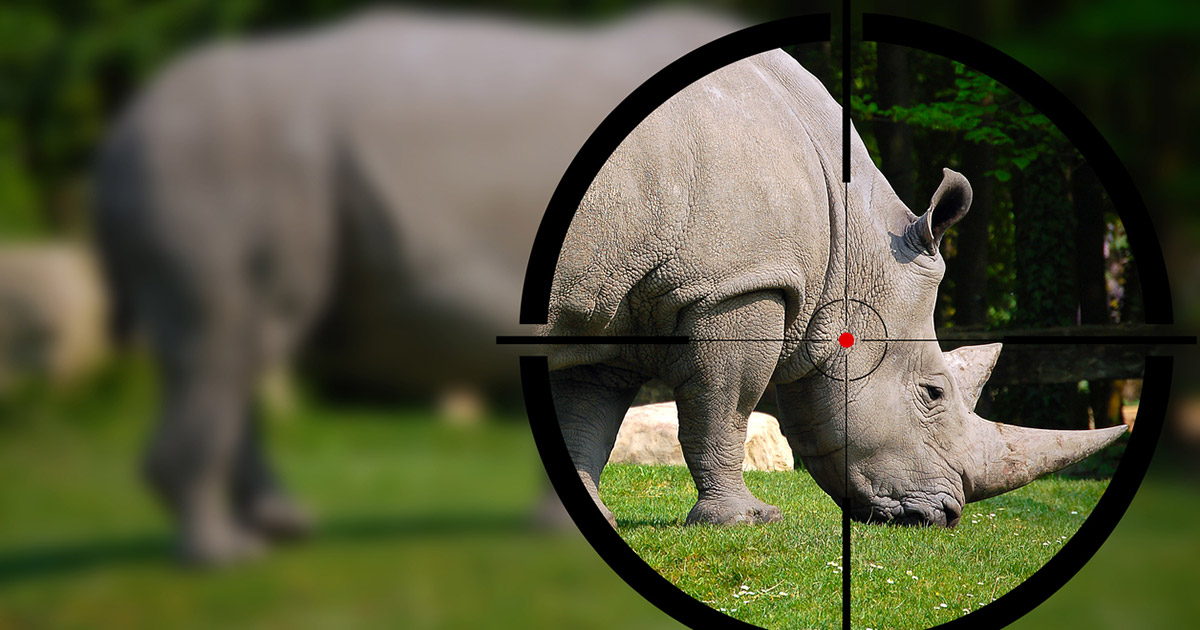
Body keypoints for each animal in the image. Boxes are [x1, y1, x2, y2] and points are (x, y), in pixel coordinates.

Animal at [93, 7, 741, 564]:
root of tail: (121, 134)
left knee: (234, 349)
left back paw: (277, 528)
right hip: (216, 160)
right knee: (229, 342)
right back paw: (225, 557)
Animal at [544, 50, 1126, 528]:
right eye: (932, 393)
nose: (946, 515)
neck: (851, 240)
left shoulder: (609, 300)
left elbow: (585, 418)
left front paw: (588, 517)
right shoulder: (739, 285)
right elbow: (723, 409)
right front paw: (748, 520)